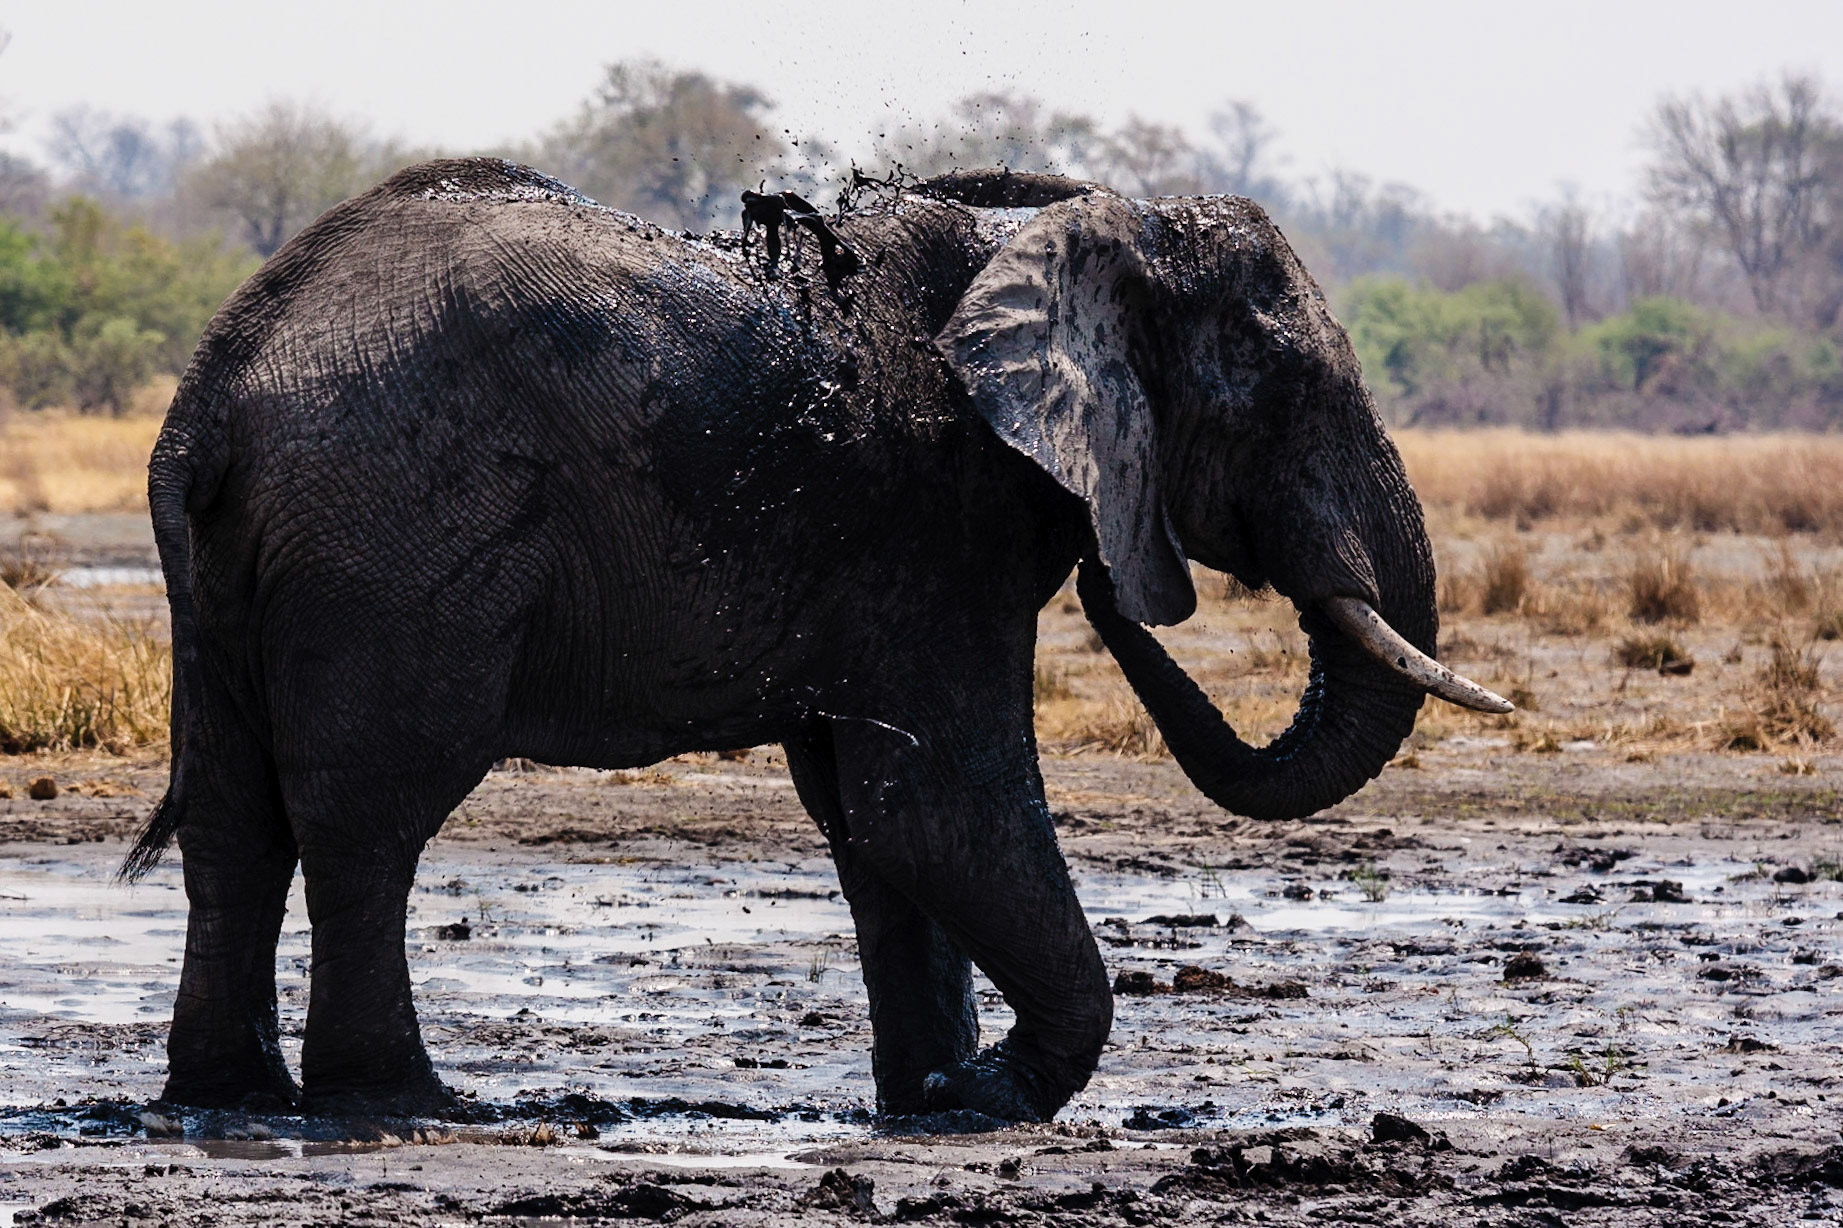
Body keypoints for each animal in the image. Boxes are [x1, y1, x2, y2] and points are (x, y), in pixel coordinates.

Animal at [124, 157, 1509, 1122]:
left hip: (248, 577)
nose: (1124, 584)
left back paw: (229, 1096)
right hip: (393, 543)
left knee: (236, 818)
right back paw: (403, 1101)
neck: (1081, 220)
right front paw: (991, 1096)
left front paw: (931, 1098)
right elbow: (937, 810)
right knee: (372, 815)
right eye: (1291, 388)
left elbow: (870, 826)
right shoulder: (936, 517)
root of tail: (212, 394)